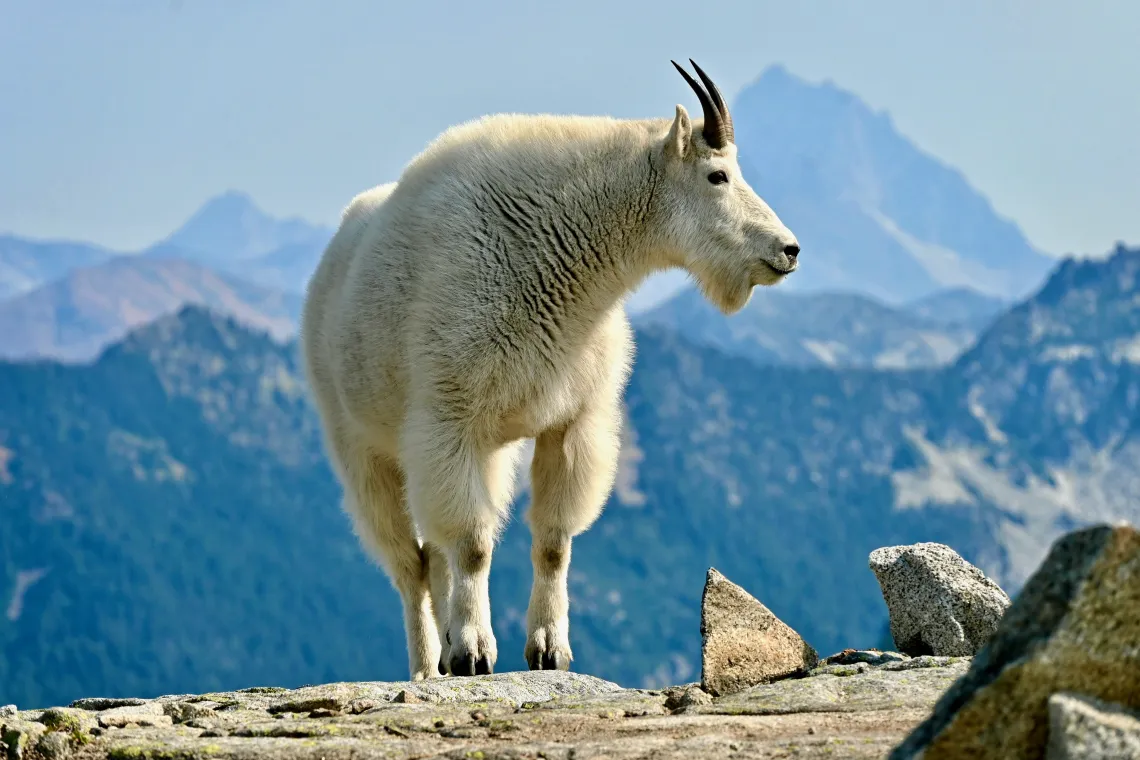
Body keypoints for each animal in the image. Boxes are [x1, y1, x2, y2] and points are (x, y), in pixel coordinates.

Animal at [300, 60, 800, 679]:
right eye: (717, 175)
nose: (788, 250)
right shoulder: (450, 419)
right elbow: (472, 543)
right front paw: (474, 653)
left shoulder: (573, 422)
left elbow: (553, 540)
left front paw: (548, 651)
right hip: (364, 447)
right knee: (409, 562)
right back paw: (428, 665)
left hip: (490, 451)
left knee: (435, 552)